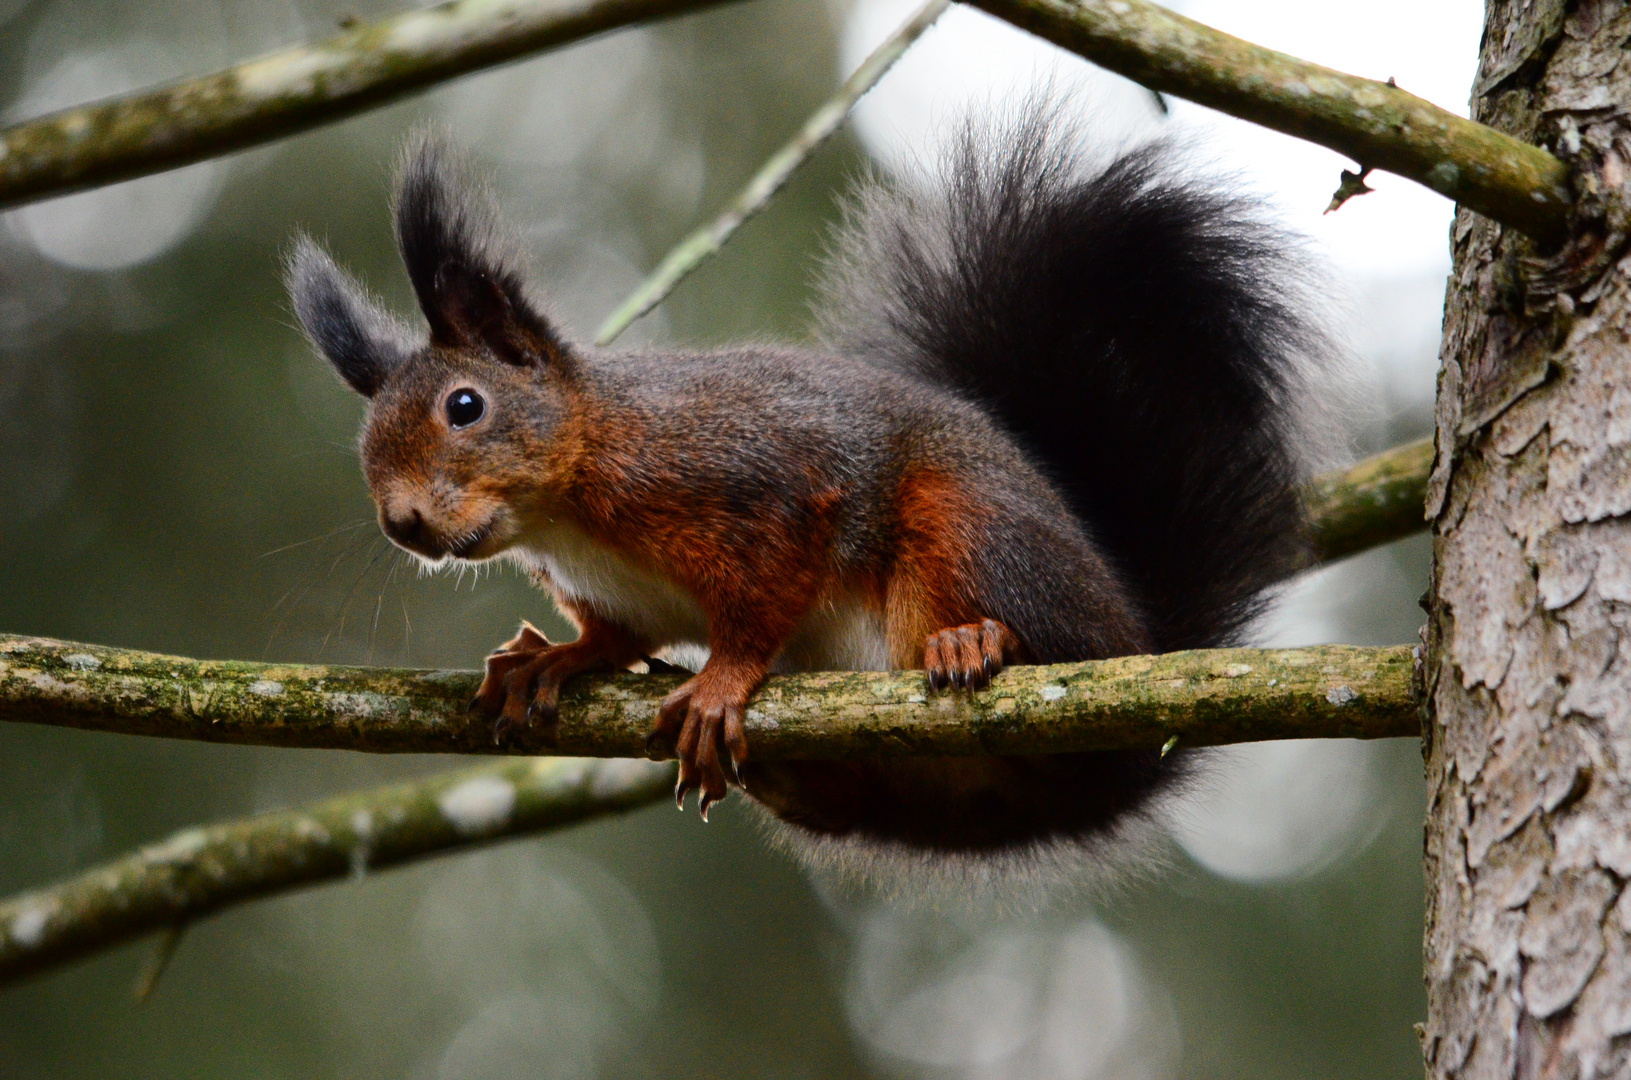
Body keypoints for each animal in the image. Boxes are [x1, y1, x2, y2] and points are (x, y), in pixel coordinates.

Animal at [283, 110, 1324, 887]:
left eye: (465, 406)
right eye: (366, 444)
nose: (402, 522)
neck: (569, 510)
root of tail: (1145, 652)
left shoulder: (751, 485)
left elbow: (766, 595)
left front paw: (721, 681)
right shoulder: (607, 588)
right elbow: (617, 637)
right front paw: (556, 661)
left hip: (979, 533)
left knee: (1048, 641)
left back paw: (977, 642)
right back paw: (798, 778)